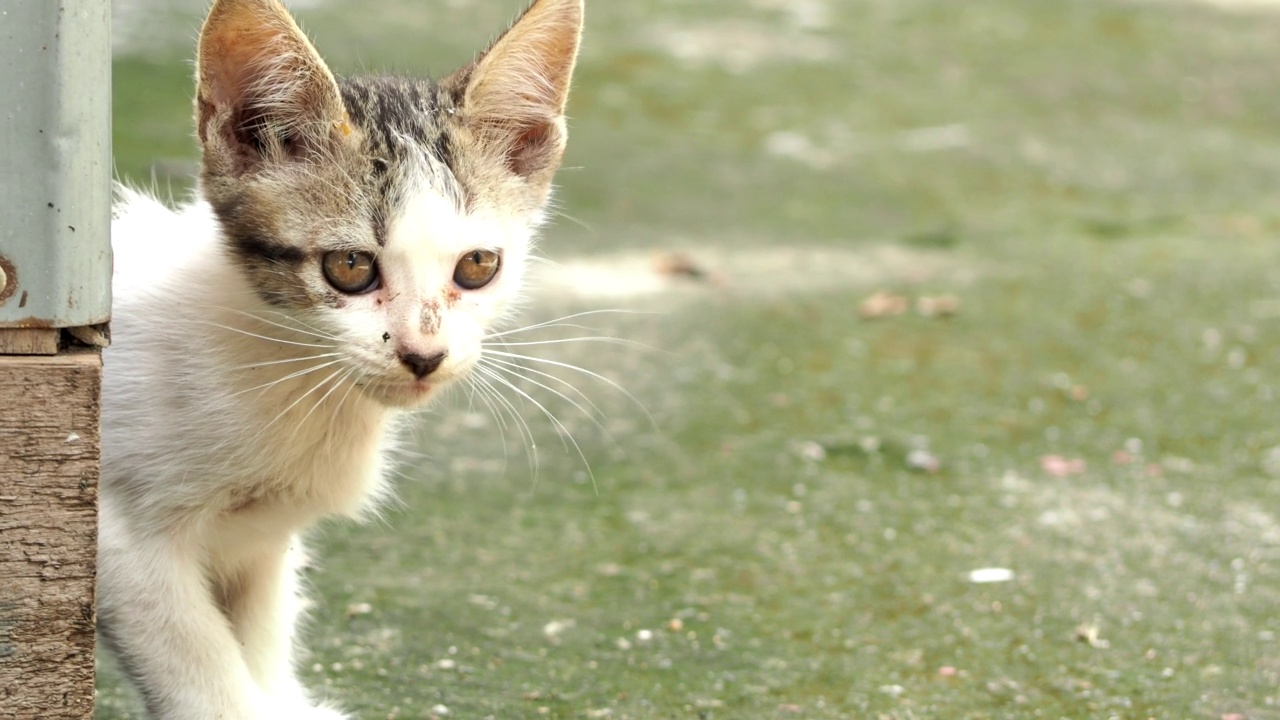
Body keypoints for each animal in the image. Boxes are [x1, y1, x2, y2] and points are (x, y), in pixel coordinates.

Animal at [102, 2, 583, 712]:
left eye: (478, 266)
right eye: (350, 266)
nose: (423, 354)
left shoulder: (258, 541)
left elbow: (260, 636)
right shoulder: (121, 538)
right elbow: (202, 665)